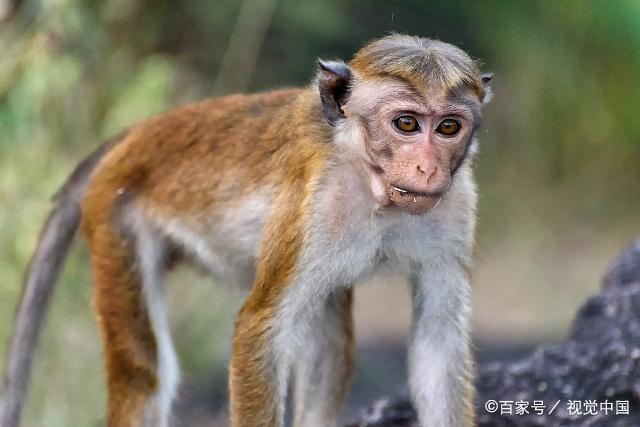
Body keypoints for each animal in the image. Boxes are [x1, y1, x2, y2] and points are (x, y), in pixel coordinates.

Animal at [0, 36, 492, 427]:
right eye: (406, 123)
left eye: (448, 127)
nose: (428, 168)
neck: (369, 179)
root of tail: (135, 136)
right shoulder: (314, 208)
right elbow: (261, 331)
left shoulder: (456, 205)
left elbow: (438, 343)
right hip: (114, 215)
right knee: (144, 374)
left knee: (329, 336)